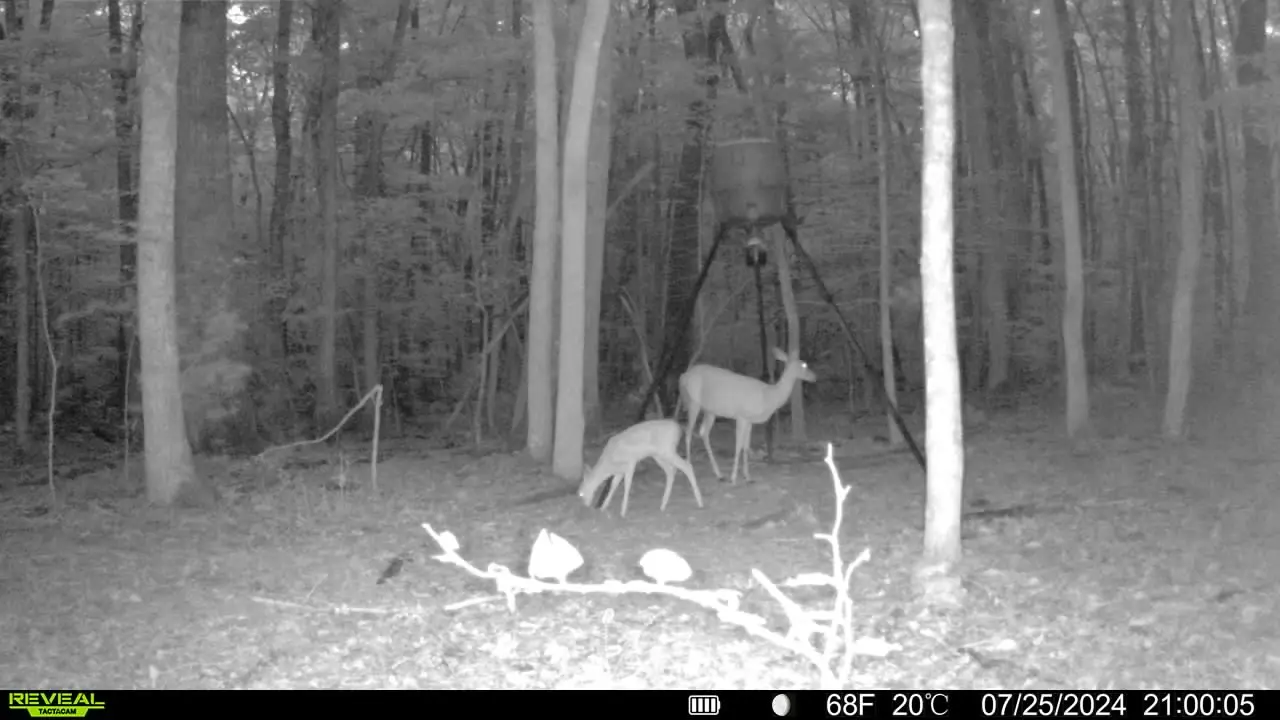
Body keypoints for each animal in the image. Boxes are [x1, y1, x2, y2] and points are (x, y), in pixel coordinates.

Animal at [675, 345, 814, 481]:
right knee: (688, 433)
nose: (814, 376)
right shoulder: (741, 416)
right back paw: (690, 467)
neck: (768, 397)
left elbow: (745, 447)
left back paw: (719, 474)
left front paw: (747, 476)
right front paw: (733, 478)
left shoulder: (749, 420)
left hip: (710, 410)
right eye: (804, 365)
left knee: (703, 432)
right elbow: (738, 446)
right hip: (693, 402)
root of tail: (683, 376)